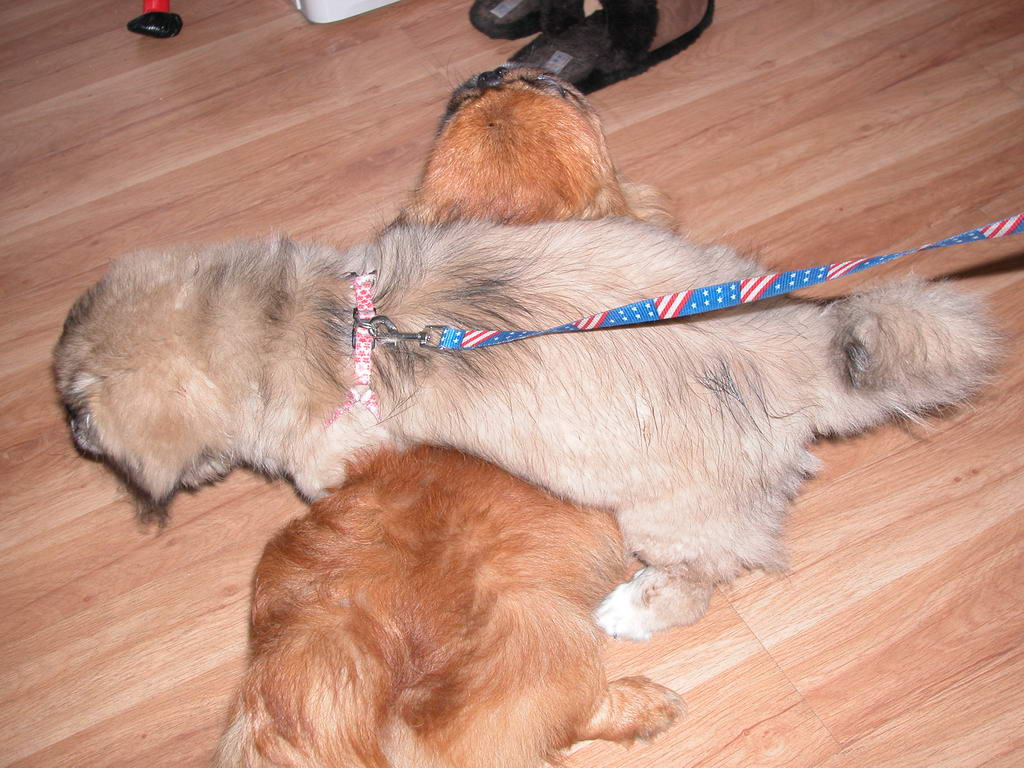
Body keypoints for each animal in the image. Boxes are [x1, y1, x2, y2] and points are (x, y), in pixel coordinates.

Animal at [54, 216, 1000, 639]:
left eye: (77, 411)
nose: (72, 435)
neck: (314, 322)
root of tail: (803, 351)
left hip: (663, 518)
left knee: (703, 577)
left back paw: (632, 610)